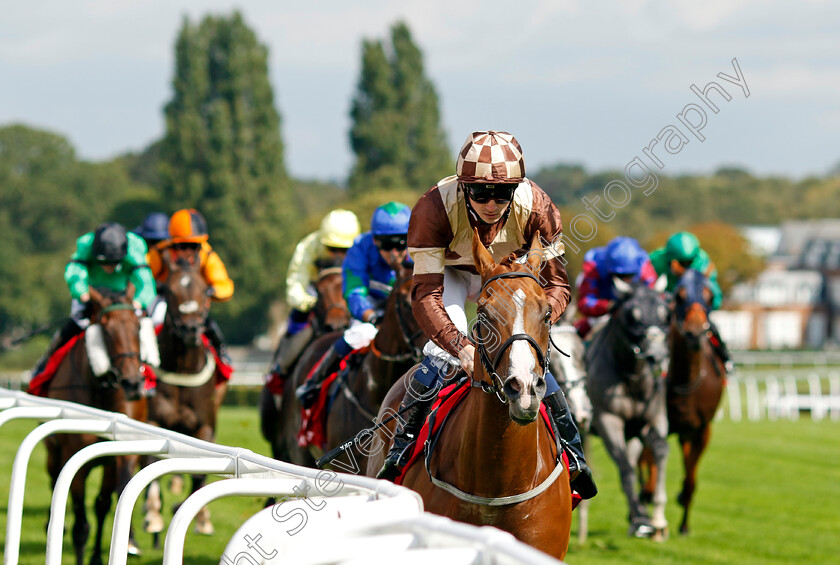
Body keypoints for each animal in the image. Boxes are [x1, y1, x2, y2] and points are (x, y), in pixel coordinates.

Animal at [44, 286, 148, 564]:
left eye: (137, 326)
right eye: (107, 330)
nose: (132, 383)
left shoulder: (118, 454)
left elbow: (106, 502)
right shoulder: (74, 457)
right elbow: (81, 522)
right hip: (52, 449)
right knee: (53, 477)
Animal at [146, 252, 221, 536]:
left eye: (206, 290)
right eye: (168, 290)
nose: (190, 330)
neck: (183, 368)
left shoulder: (204, 426)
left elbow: (199, 472)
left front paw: (201, 518)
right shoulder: (153, 421)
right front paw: (153, 514)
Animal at [588, 276, 672, 540]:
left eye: (665, 315)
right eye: (633, 317)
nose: (658, 357)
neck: (631, 377)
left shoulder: (652, 419)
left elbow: (660, 450)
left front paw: (657, 517)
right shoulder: (608, 419)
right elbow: (625, 468)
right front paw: (642, 520)